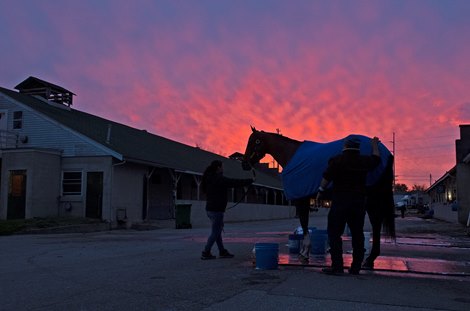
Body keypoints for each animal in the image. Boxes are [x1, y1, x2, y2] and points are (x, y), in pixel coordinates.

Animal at [241, 126, 394, 268]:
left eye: (254, 141)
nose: (244, 164)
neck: (291, 155)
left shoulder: (301, 200)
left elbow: (304, 223)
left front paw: (304, 253)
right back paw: (370, 259)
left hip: (373, 198)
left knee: (376, 222)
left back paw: (370, 259)